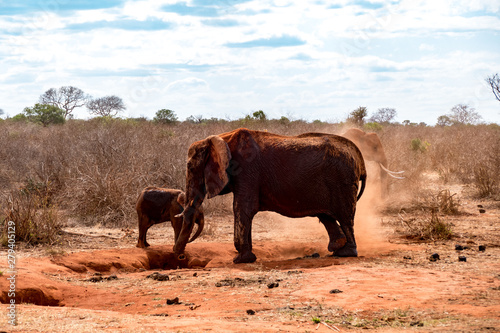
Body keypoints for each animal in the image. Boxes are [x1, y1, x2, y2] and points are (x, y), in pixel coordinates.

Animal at [175, 128, 368, 264]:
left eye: (190, 168)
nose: (180, 256)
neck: (222, 138)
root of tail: (361, 160)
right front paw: (247, 258)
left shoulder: (247, 170)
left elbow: (242, 208)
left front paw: (240, 260)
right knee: (326, 215)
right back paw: (336, 248)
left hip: (343, 181)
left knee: (344, 217)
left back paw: (345, 253)